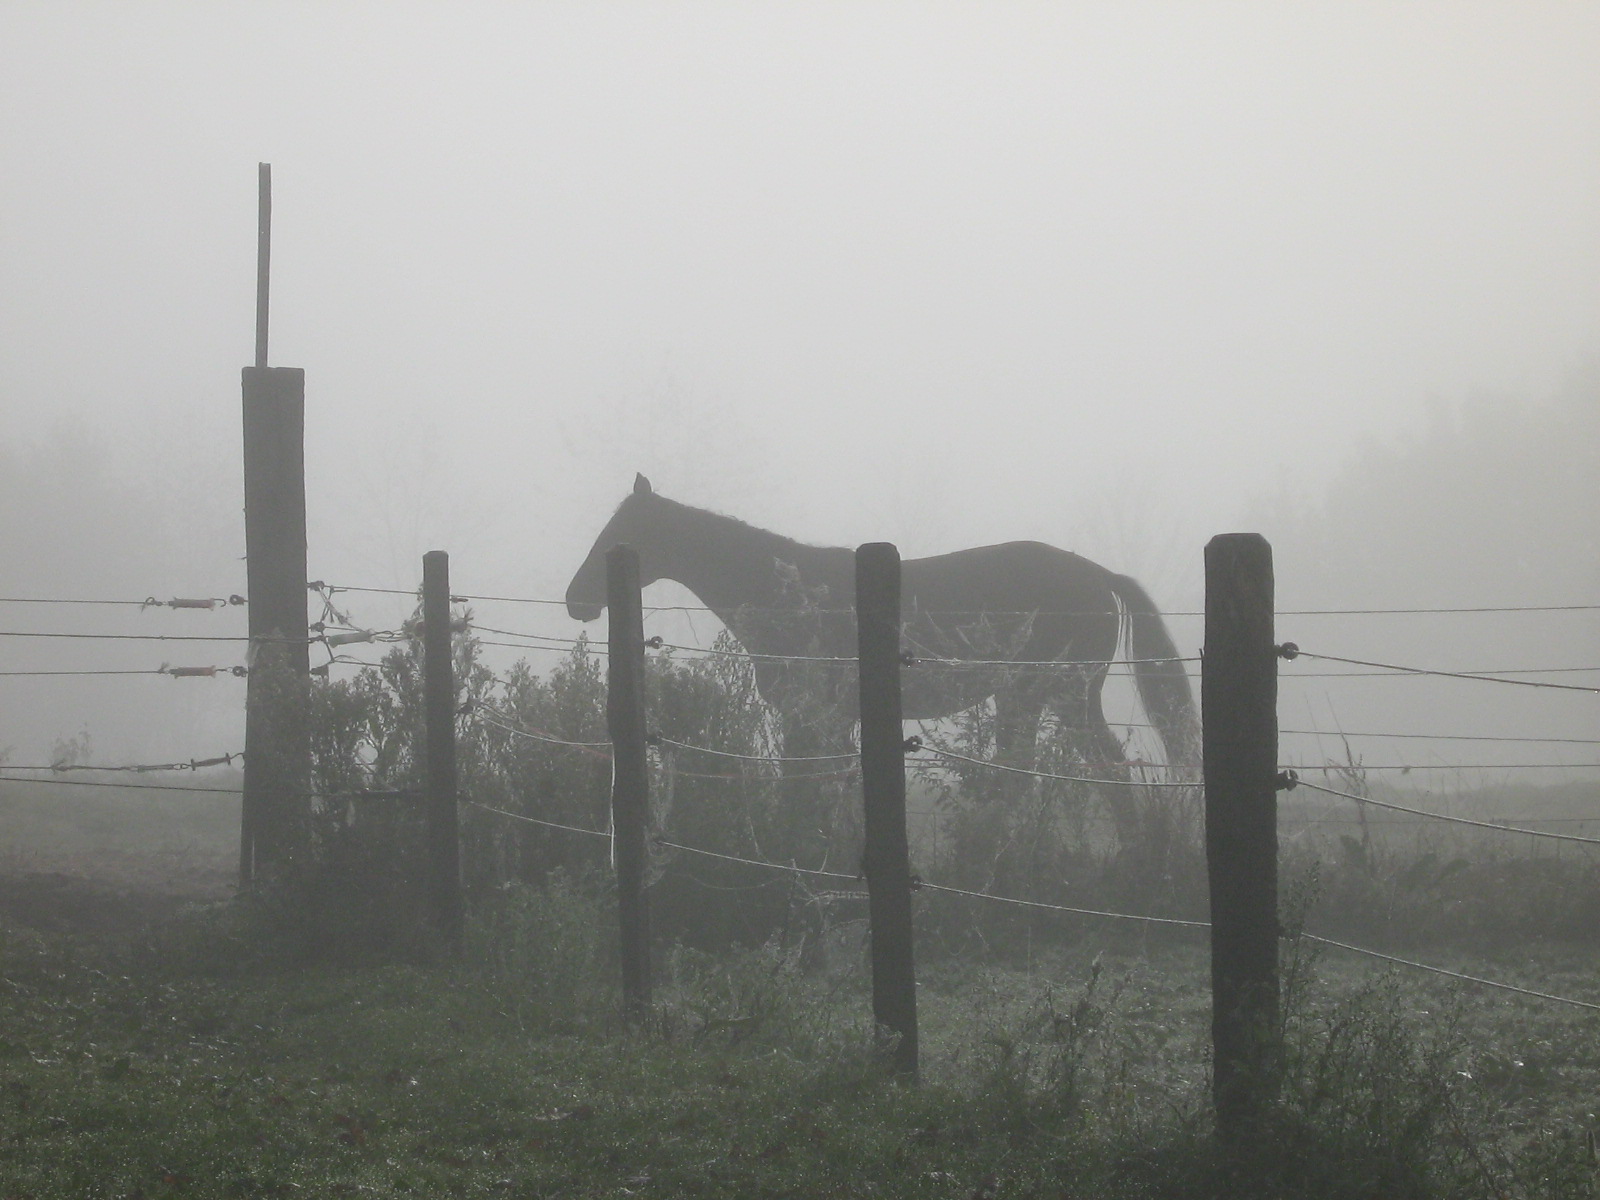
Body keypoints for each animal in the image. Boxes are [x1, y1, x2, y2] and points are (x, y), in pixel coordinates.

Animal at [566, 473, 1203, 784]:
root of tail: (1099, 575)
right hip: (1045, 699)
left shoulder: (814, 717)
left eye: (624, 532)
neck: (787, 595)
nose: (576, 599)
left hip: (1055, 695)